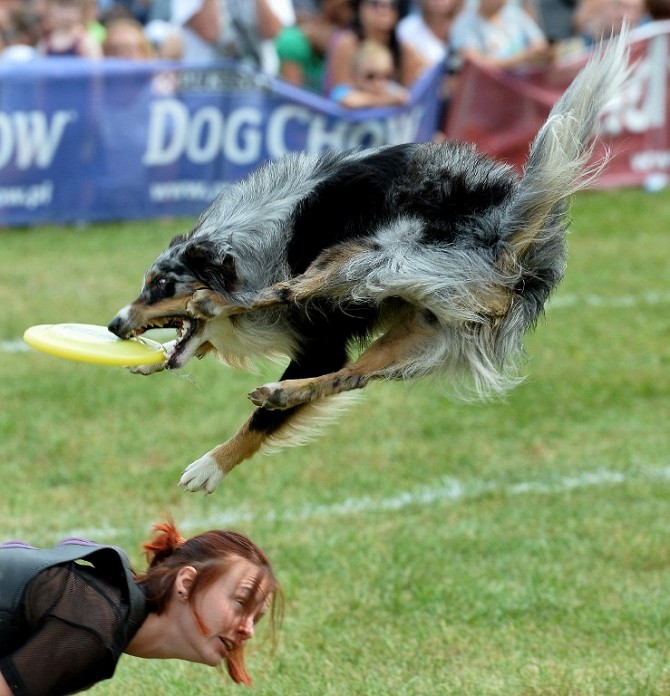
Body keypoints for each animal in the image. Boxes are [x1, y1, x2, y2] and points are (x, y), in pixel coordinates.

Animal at [109, 29, 632, 492]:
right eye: (146, 284)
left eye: (161, 285)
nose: (113, 325)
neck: (246, 241)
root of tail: (510, 229)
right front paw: (156, 357)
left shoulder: (320, 339)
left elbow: (261, 408)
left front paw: (211, 467)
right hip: (417, 333)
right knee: (352, 377)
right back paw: (280, 389)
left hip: (369, 257)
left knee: (292, 295)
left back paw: (229, 323)